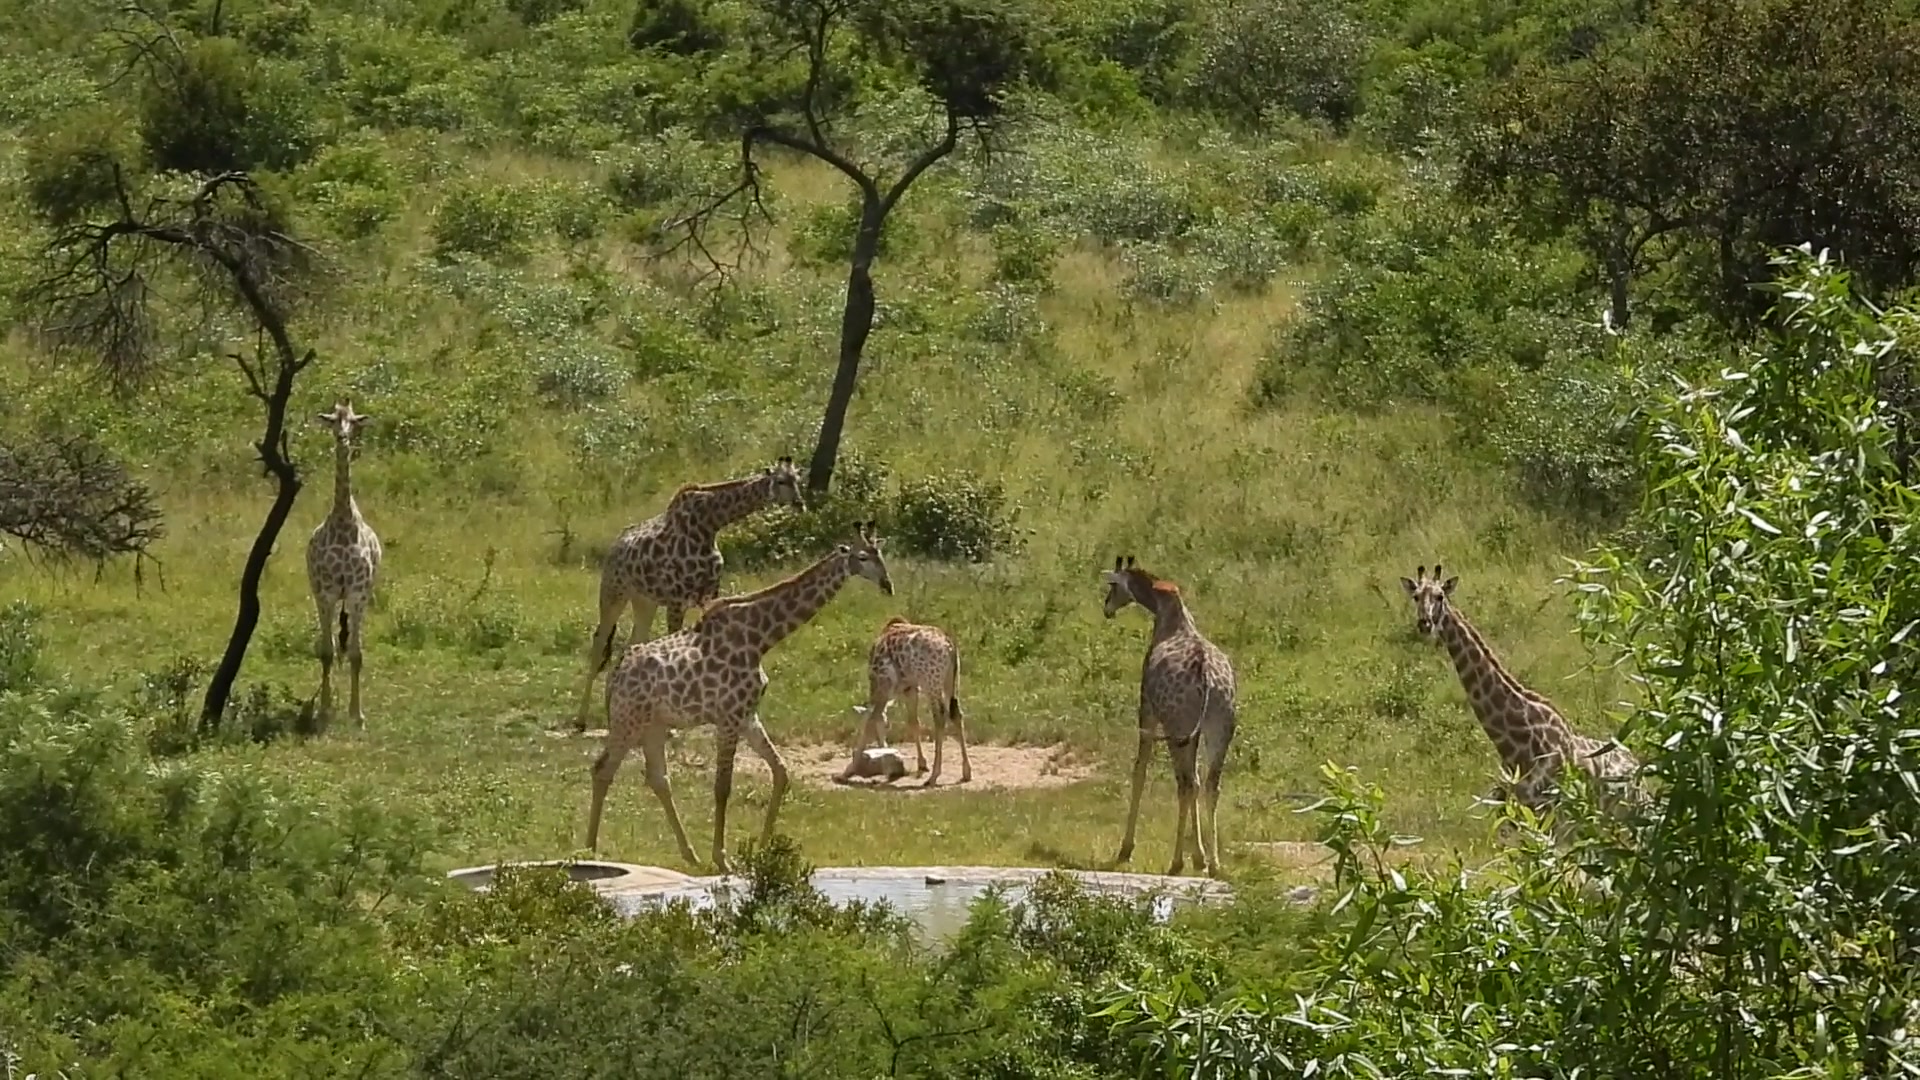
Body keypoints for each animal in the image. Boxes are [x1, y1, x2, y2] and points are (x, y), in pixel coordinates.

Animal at [571, 457, 805, 731]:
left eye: (797, 480)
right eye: (780, 481)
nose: (799, 504)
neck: (709, 525)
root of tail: (615, 545)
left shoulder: (708, 593)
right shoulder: (676, 600)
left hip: (644, 601)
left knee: (633, 641)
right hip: (613, 592)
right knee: (599, 642)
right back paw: (581, 719)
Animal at [585, 521, 893, 872]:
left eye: (880, 554)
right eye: (862, 556)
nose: (887, 585)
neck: (760, 638)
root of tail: (615, 677)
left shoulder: (748, 715)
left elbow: (781, 772)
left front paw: (762, 849)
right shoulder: (729, 717)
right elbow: (723, 787)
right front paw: (722, 859)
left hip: (655, 724)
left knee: (657, 777)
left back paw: (689, 854)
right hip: (628, 720)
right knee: (603, 769)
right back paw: (589, 849)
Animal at [843, 616, 971, 787]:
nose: (884, 747)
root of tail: (950, 647)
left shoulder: (882, 684)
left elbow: (871, 721)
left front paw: (849, 770)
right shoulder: (910, 688)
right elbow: (913, 722)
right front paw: (922, 764)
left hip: (931, 681)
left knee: (940, 716)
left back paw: (934, 777)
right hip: (951, 680)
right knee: (956, 713)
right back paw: (966, 772)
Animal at [1102, 555, 1238, 877]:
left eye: (1113, 585)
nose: (1106, 608)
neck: (1165, 610)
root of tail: (1207, 679)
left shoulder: (1147, 710)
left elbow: (1139, 771)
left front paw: (1126, 849)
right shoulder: (1196, 732)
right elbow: (1198, 781)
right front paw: (1200, 858)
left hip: (1177, 728)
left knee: (1185, 785)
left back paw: (1177, 862)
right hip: (1219, 728)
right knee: (1209, 784)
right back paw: (1214, 864)